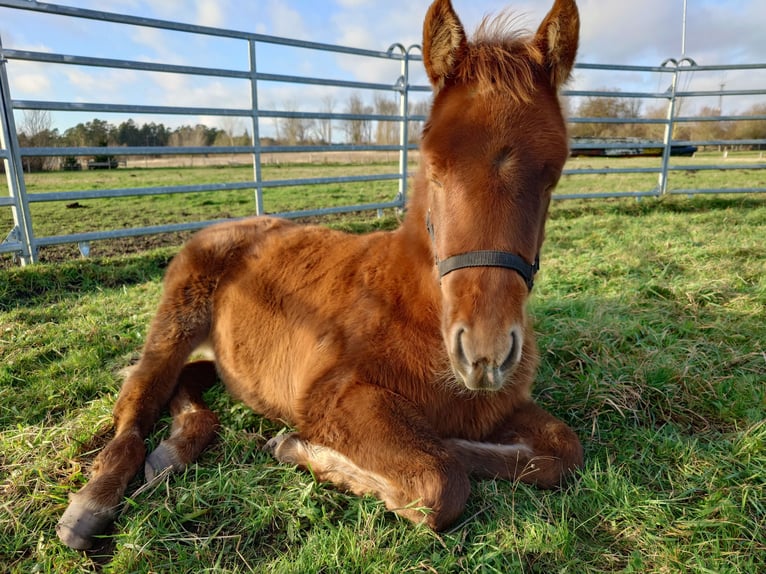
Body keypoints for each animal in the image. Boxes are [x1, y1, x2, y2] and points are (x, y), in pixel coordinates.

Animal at [57, 0, 582, 550]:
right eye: (435, 169)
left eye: (553, 174)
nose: (484, 354)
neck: (416, 309)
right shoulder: (333, 397)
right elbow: (437, 482)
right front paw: (305, 450)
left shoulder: (495, 409)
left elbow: (561, 451)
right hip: (174, 324)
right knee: (141, 397)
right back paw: (91, 506)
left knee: (189, 382)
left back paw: (174, 451)